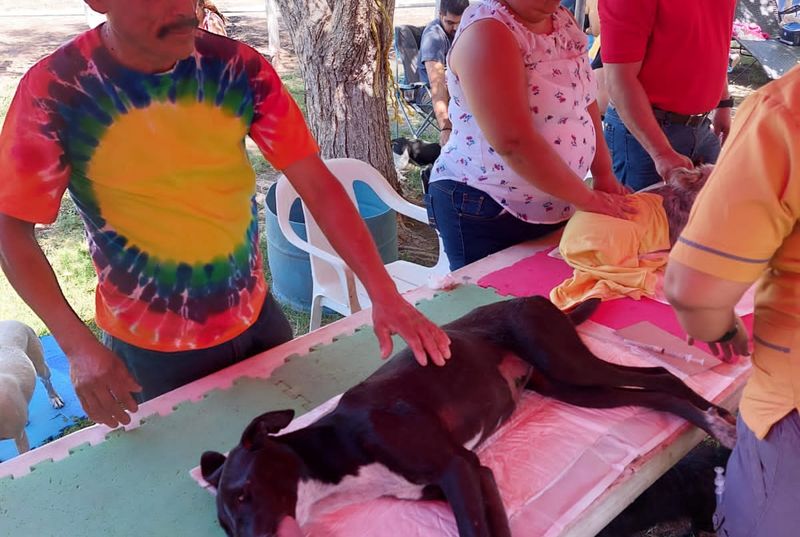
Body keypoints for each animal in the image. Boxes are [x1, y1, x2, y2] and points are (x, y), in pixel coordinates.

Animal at [202, 298, 736, 536]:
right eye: (224, 527)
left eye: (244, 493)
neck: (338, 448)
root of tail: (547, 301)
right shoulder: (474, 476)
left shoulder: (458, 468)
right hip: (573, 389)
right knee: (655, 392)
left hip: (568, 361)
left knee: (659, 374)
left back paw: (716, 417)